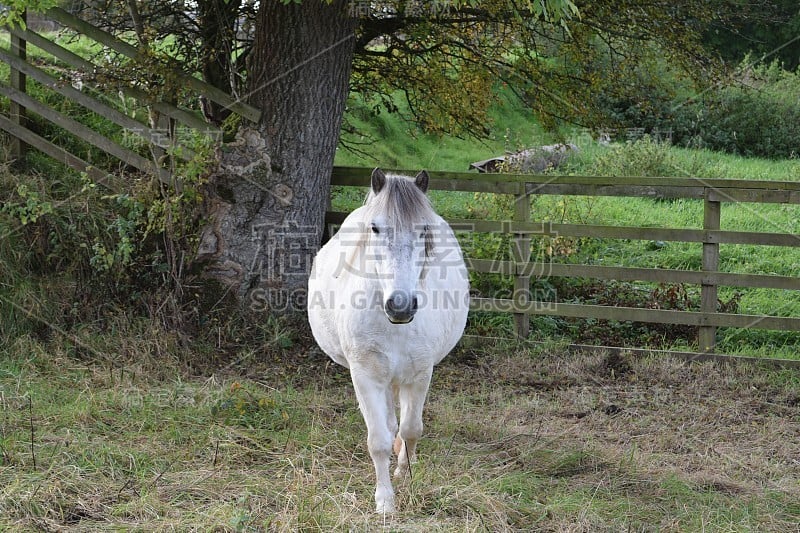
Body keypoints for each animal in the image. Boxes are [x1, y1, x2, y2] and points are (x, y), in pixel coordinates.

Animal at [306, 168, 468, 512]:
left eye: (423, 229)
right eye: (375, 227)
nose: (401, 305)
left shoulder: (420, 374)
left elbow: (412, 429)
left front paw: (405, 472)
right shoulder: (365, 376)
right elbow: (378, 440)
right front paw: (384, 501)